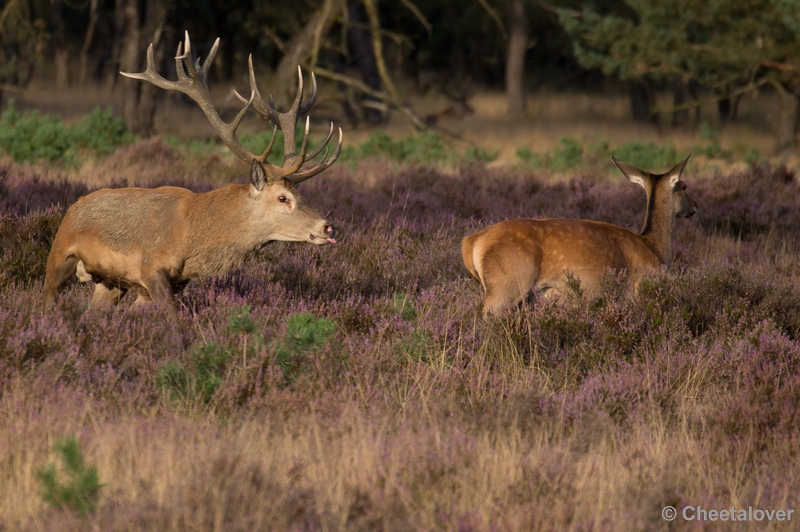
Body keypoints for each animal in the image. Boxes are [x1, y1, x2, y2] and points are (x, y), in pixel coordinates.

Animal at [43, 33, 342, 318]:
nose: (327, 226)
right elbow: (175, 319)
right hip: (59, 254)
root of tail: (73, 206)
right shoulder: (150, 268)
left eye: (300, 193)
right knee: (48, 293)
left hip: (109, 281)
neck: (190, 240)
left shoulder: (169, 283)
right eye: (282, 198)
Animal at [460, 157, 696, 316]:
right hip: (506, 284)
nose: (695, 207)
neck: (654, 249)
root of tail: (471, 242)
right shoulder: (639, 290)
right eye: (684, 187)